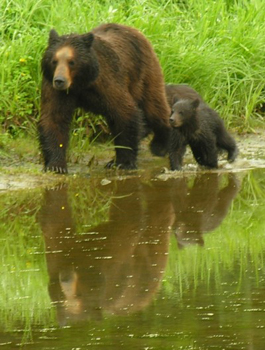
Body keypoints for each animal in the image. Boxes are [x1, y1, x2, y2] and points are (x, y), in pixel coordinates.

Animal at [37, 22, 169, 173]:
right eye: (54, 61)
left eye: (71, 61)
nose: (59, 80)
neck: (81, 83)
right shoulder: (55, 90)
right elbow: (54, 118)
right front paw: (56, 165)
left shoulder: (107, 81)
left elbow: (125, 112)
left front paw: (123, 162)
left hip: (144, 73)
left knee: (154, 106)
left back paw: (161, 144)